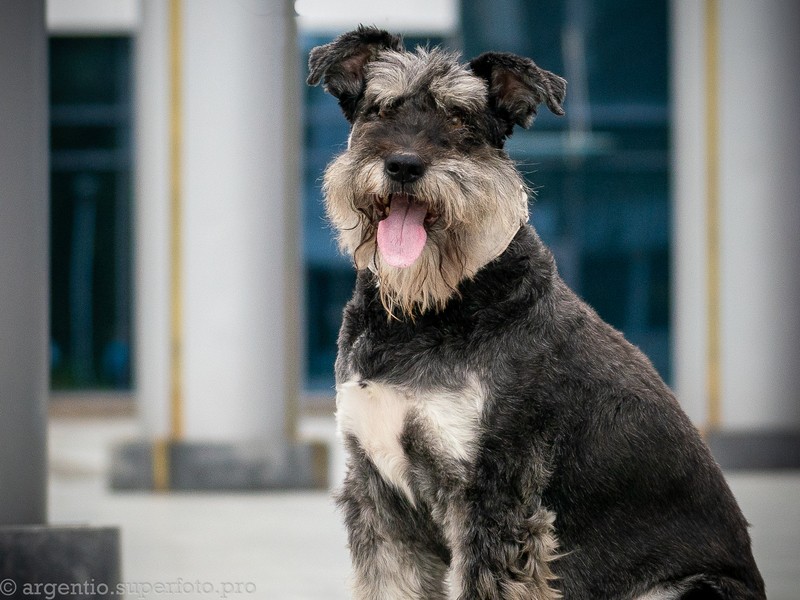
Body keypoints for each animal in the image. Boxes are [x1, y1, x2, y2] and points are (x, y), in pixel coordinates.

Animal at [308, 25, 768, 596]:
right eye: (380, 108)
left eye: (461, 118)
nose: (404, 165)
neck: (426, 308)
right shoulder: (379, 494)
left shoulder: (495, 495)